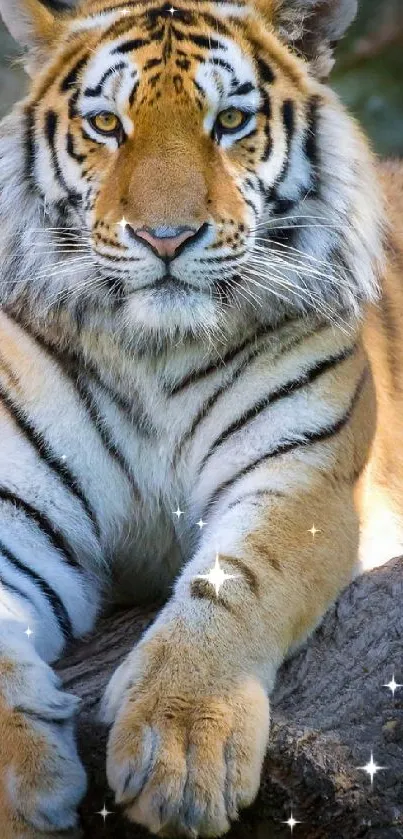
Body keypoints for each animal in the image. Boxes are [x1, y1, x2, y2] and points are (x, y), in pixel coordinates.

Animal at [0, 0, 400, 836]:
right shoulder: (18, 511)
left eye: (231, 120)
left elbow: (236, 580)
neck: (155, 349)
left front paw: (181, 746)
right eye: (106, 124)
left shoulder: (300, 476)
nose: (166, 237)